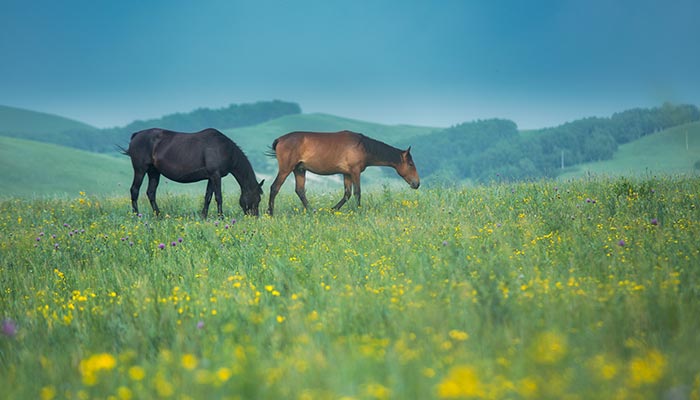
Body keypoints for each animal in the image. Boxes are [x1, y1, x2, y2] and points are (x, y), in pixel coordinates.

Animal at [121, 128, 264, 217]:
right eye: (257, 198)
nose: (255, 218)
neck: (224, 149)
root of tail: (136, 135)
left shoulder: (211, 177)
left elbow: (208, 197)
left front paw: (204, 217)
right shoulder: (216, 175)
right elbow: (218, 197)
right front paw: (221, 217)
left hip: (154, 172)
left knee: (151, 192)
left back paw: (158, 215)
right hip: (140, 170)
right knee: (134, 190)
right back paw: (136, 216)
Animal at [266, 130, 422, 214]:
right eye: (410, 164)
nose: (417, 183)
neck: (362, 146)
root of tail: (280, 139)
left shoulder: (347, 174)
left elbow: (347, 194)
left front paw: (333, 209)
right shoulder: (355, 172)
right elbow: (357, 192)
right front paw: (359, 210)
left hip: (299, 170)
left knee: (300, 191)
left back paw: (312, 211)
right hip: (286, 169)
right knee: (274, 188)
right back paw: (270, 213)